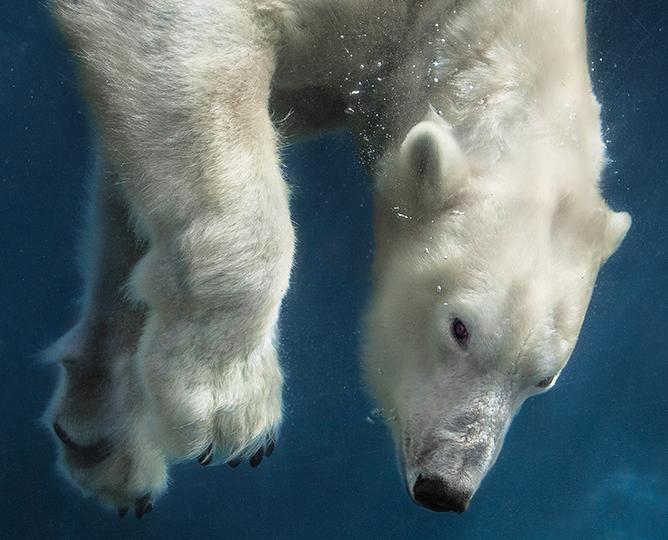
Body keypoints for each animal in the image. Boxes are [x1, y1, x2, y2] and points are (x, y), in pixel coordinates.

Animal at [45, 0, 632, 516]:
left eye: (544, 379)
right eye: (459, 329)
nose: (445, 488)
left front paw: (106, 440)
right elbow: (181, 45)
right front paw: (229, 409)